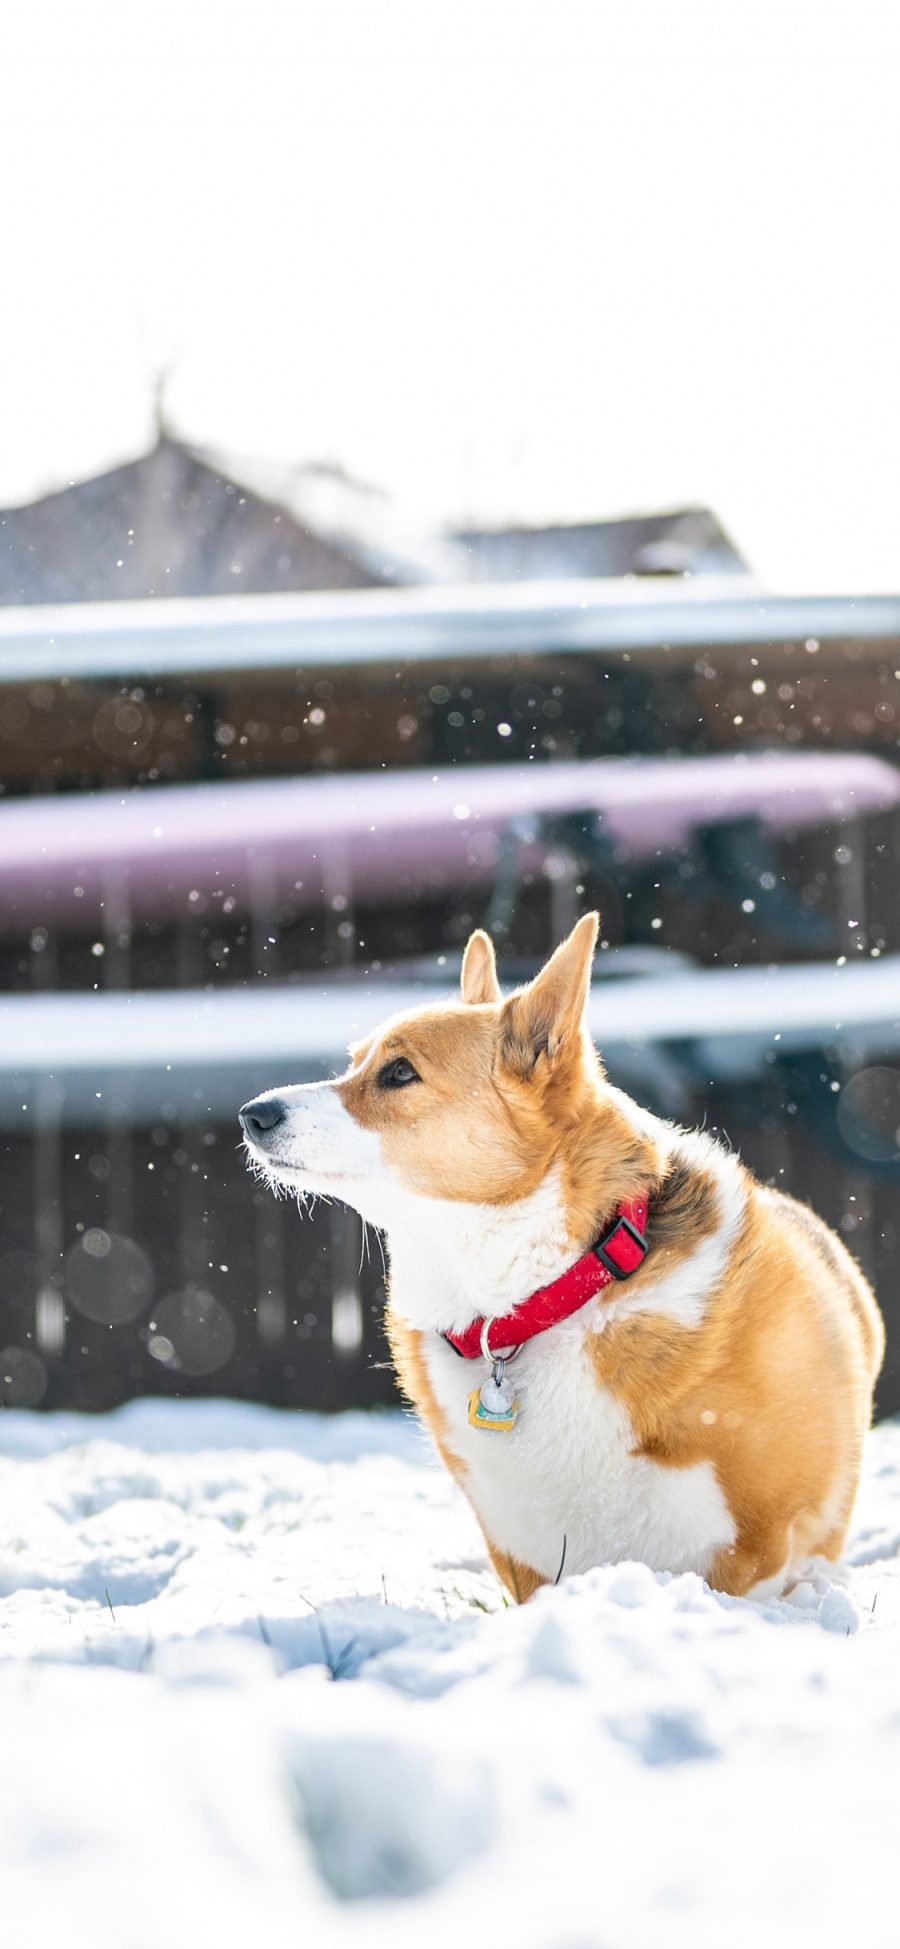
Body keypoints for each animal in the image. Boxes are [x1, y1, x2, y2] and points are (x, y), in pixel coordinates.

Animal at [237, 912, 880, 1598]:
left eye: (400, 1072)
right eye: (355, 1062)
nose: (252, 1114)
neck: (547, 1295)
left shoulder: (759, 1545)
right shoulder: (521, 1553)